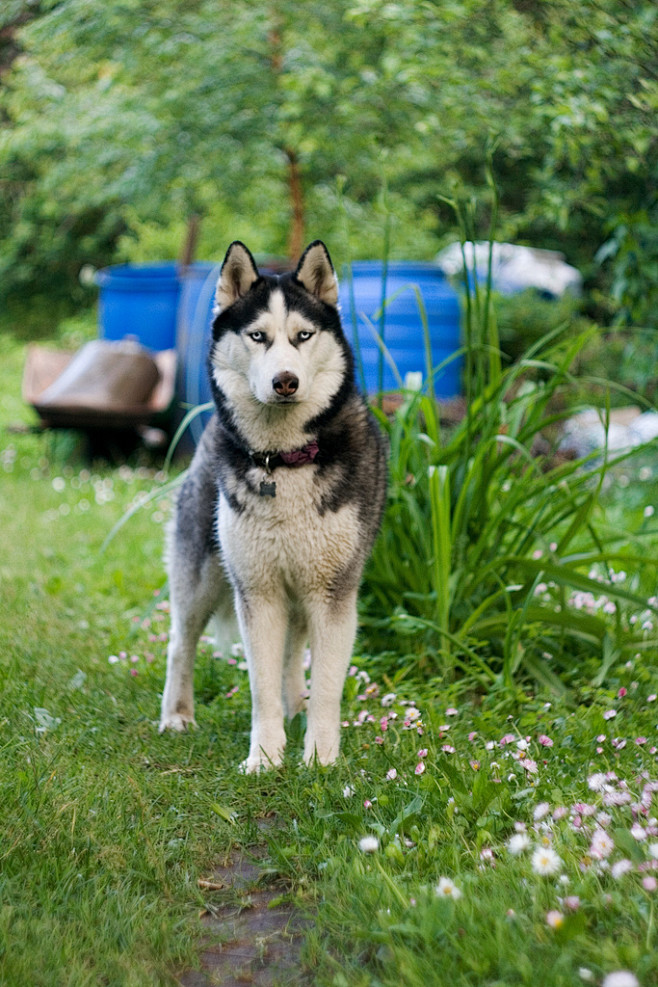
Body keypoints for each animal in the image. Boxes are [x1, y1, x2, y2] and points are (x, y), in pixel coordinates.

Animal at [158, 239, 384, 772]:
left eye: (303, 336)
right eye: (258, 336)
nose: (286, 381)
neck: (283, 461)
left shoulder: (332, 593)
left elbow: (327, 685)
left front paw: (320, 758)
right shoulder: (257, 593)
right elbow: (259, 684)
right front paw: (264, 757)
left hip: (299, 590)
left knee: (293, 654)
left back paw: (296, 707)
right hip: (204, 575)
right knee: (181, 641)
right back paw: (177, 714)